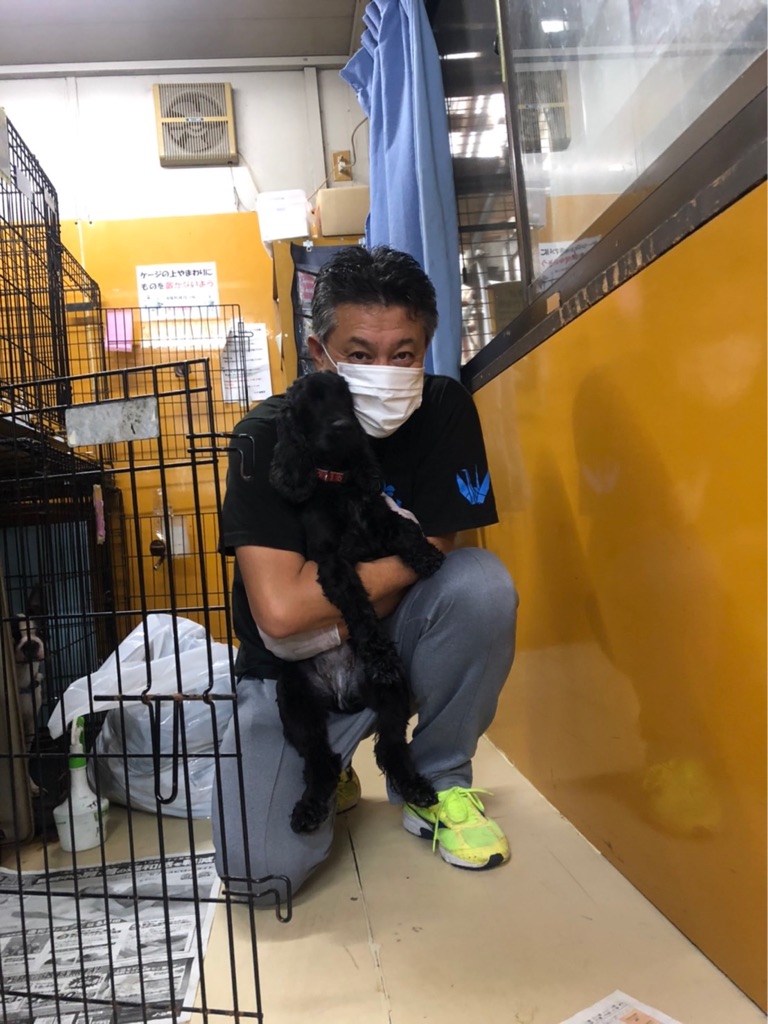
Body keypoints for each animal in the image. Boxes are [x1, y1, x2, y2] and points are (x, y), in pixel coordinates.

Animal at [269, 371, 445, 834]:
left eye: (345, 398)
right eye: (308, 404)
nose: (344, 427)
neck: (339, 483)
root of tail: (343, 694)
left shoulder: (379, 523)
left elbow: (406, 530)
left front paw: (427, 556)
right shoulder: (333, 563)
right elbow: (359, 607)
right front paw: (379, 653)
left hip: (394, 695)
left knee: (390, 746)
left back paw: (416, 787)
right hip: (295, 703)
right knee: (322, 760)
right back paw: (309, 809)